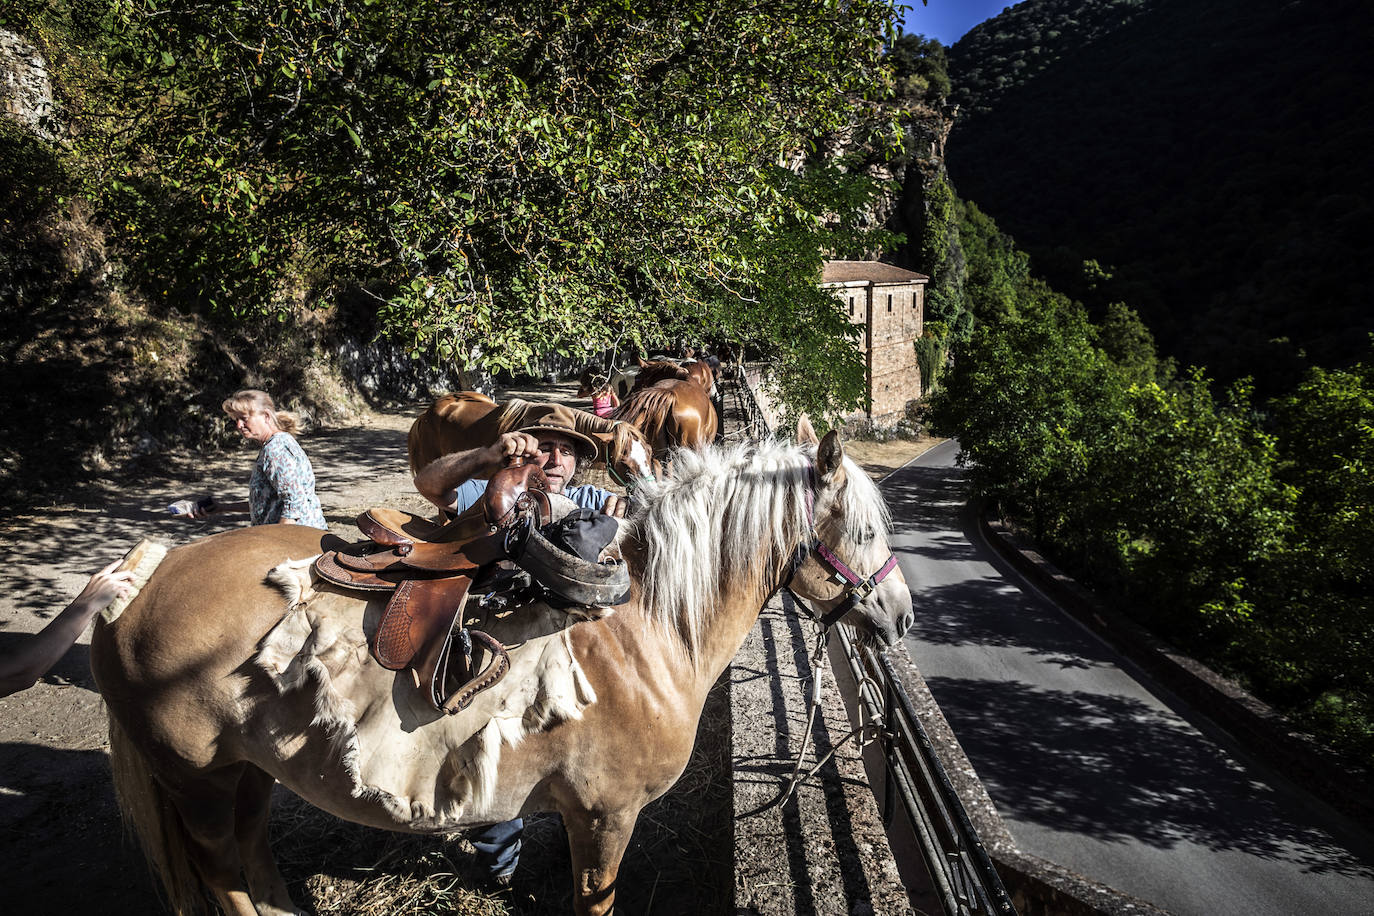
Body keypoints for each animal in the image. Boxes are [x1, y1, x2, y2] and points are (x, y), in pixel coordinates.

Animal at [94, 428, 912, 916]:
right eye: (864, 530)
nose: (902, 616)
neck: (645, 628)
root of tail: (140, 581)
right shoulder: (605, 818)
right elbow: (595, 901)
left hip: (247, 772)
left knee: (255, 856)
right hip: (196, 785)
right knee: (226, 875)